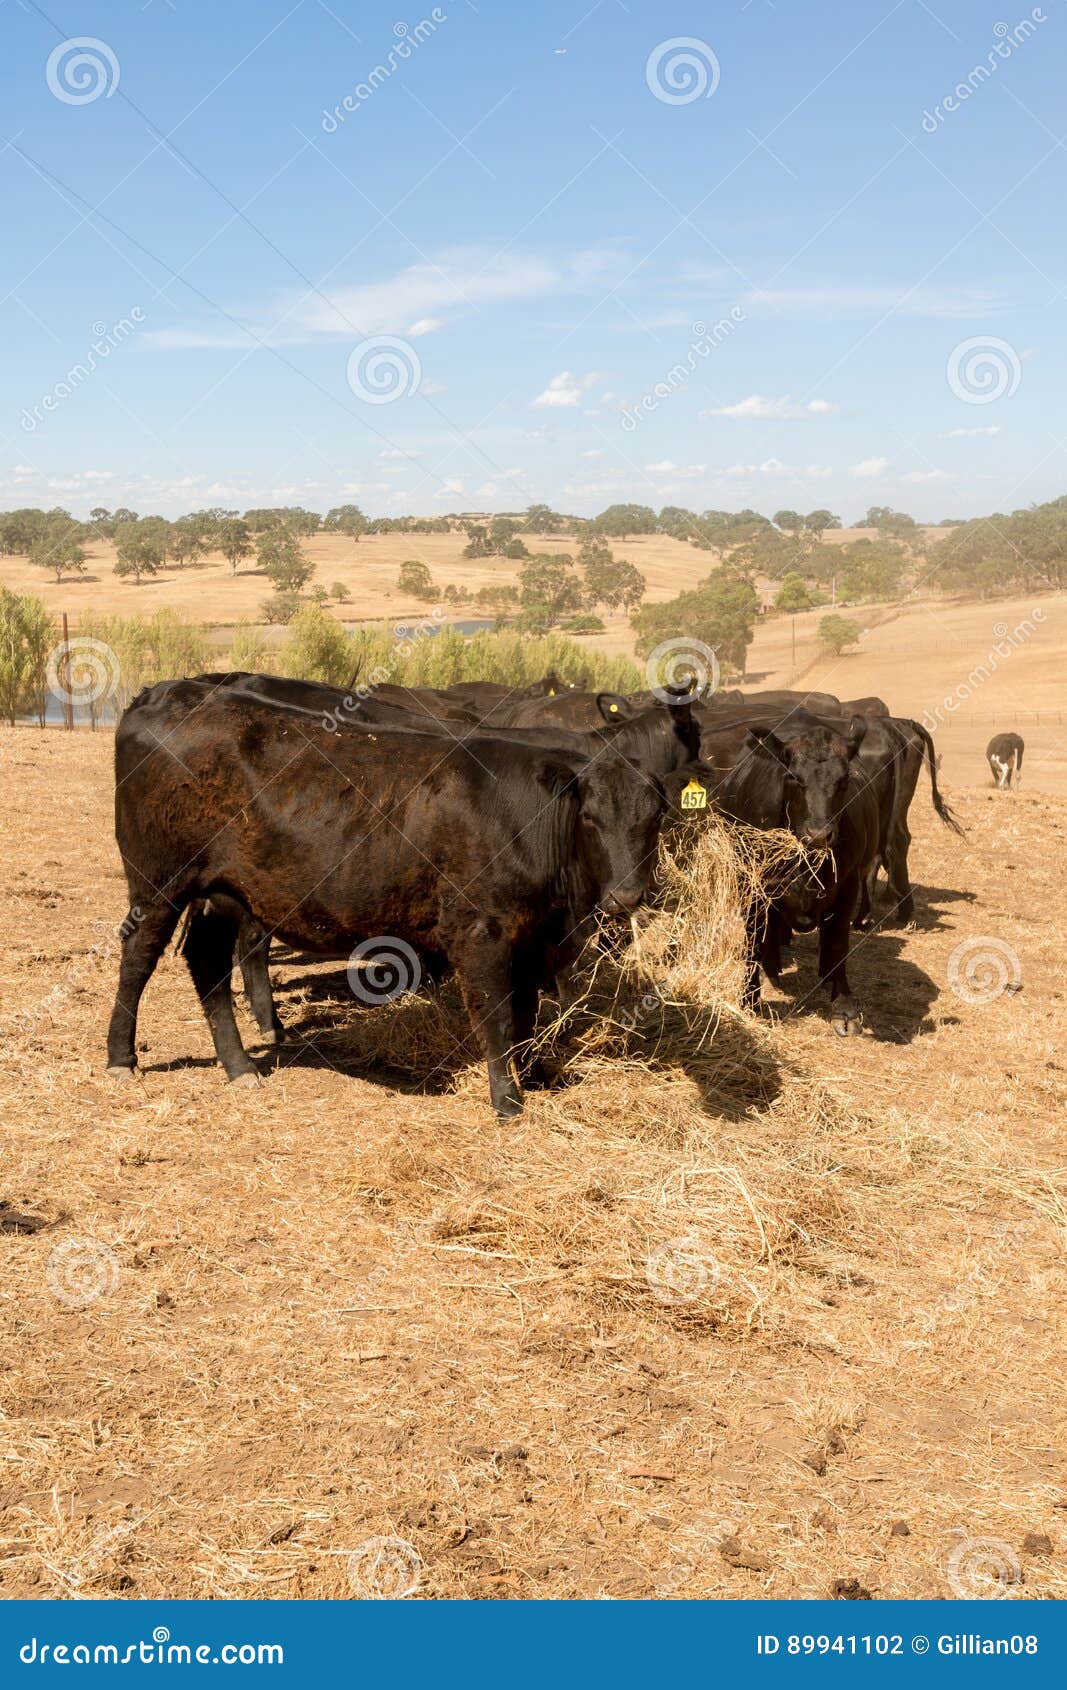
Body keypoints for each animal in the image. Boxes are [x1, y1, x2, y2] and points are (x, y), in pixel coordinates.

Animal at [107, 682, 669, 1117]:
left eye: (654, 816)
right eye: (590, 817)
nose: (626, 895)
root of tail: (167, 692)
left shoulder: (536, 939)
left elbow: (529, 1015)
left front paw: (534, 1077)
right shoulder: (478, 932)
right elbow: (497, 1017)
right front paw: (507, 1101)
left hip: (223, 892)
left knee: (207, 963)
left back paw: (240, 1065)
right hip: (157, 882)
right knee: (138, 958)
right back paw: (121, 1058)